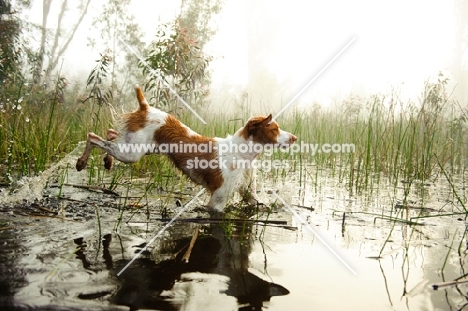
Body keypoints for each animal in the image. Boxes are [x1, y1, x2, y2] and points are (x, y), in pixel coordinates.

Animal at [76, 85, 296, 212]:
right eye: (275, 129)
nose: (294, 137)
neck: (241, 153)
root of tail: (146, 107)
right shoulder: (218, 200)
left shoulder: (249, 195)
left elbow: (258, 202)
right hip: (131, 153)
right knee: (93, 136)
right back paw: (81, 162)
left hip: (137, 147)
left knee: (110, 134)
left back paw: (106, 160)